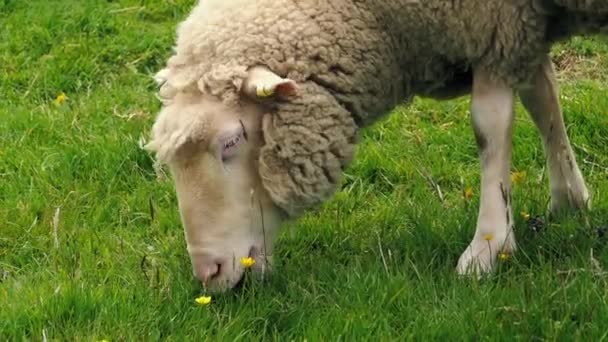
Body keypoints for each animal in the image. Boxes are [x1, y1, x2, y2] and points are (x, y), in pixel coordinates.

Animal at [147, 0, 608, 292]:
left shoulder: (493, 26)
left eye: (230, 142)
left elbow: (490, 127)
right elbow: (542, 98)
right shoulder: (516, 29)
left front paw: (488, 248)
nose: (209, 273)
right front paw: (569, 199)